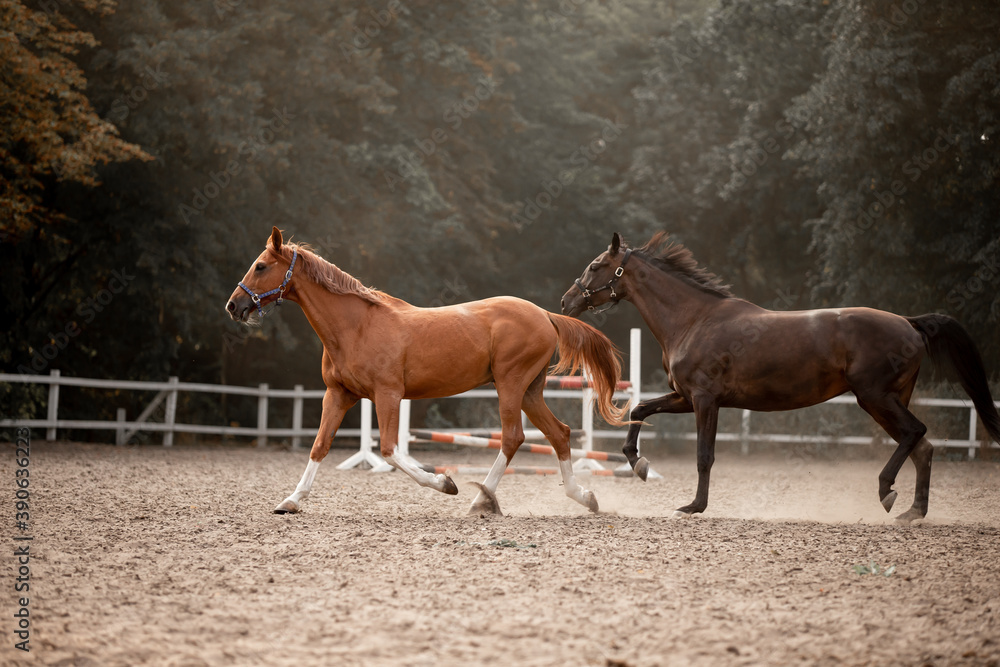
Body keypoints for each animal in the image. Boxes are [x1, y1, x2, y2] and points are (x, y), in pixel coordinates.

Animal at [226, 227, 628, 515]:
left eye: (261, 266)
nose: (234, 305)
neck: (355, 326)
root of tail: (545, 314)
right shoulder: (338, 395)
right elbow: (319, 446)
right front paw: (291, 501)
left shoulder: (387, 395)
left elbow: (390, 450)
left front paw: (444, 483)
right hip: (530, 390)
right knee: (559, 434)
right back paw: (585, 497)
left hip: (511, 385)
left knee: (513, 438)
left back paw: (480, 500)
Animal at [561, 232, 1000, 522]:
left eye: (596, 266)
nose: (567, 300)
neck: (694, 320)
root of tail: (909, 323)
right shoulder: (684, 398)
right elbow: (639, 409)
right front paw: (638, 463)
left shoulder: (705, 400)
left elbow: (704, 456)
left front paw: (694, 506)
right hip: (890, 399)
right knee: (922, 447)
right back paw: (912, 511)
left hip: (875, 397)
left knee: (915, 434)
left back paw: (886, 491)